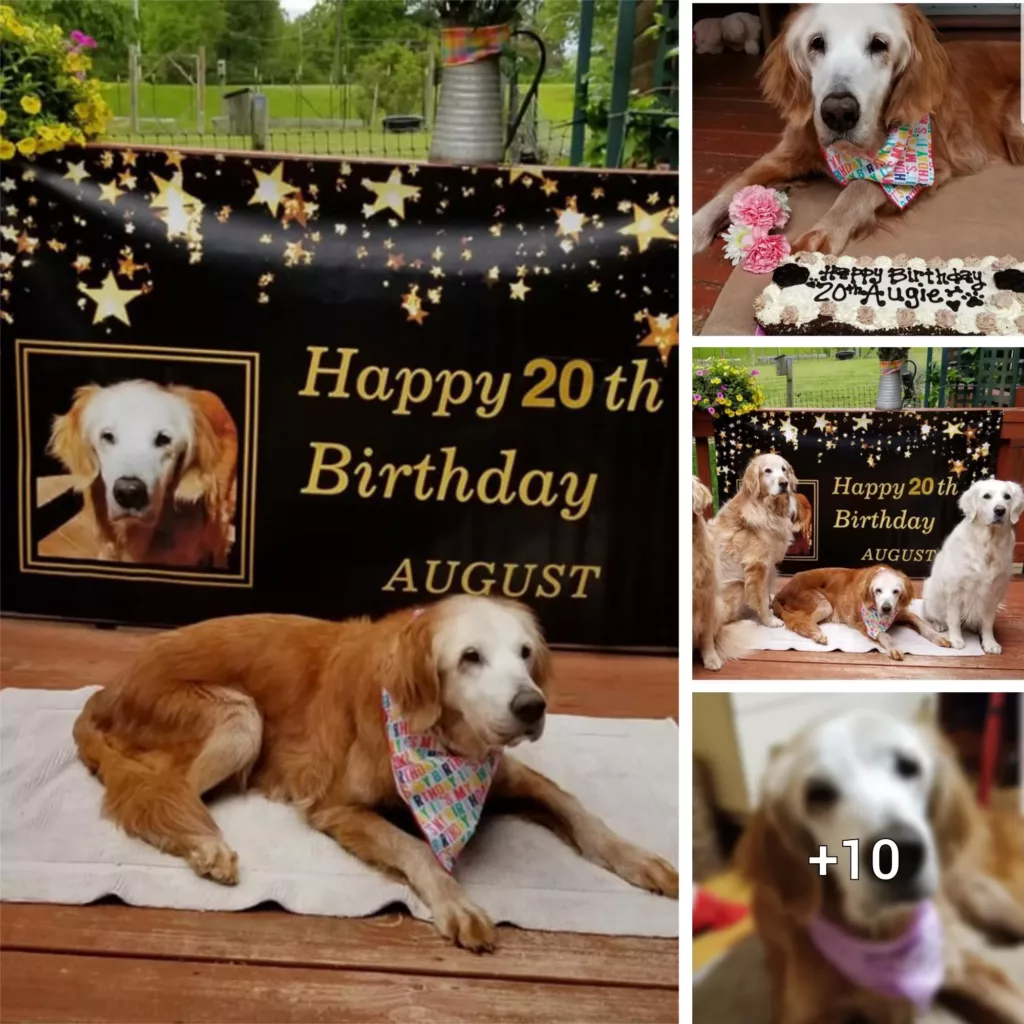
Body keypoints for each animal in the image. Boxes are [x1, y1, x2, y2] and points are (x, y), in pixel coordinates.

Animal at [925, 481, 1019, 655]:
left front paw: (990, 643)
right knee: (936, 615)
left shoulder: (992, 593)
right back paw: (939, 625)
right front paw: (956, 640)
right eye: (986, 496)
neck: (989, 544)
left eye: (1007, 496)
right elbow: (954, 620)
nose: (1000, 510)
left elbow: (988, 623)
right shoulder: (955, 590)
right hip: (931, 593)